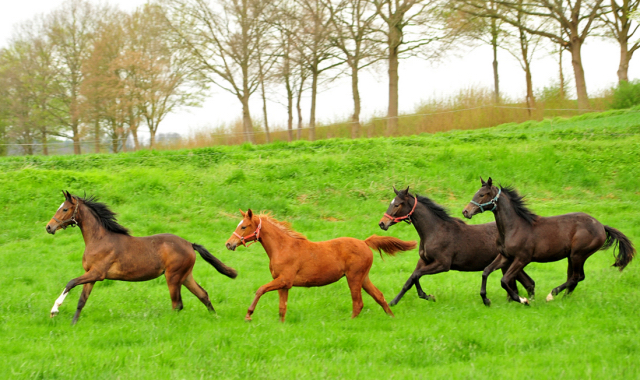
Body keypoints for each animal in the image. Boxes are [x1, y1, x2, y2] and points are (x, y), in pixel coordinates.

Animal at [44, 190, 238, 324]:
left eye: (65, 209)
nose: (49, 227)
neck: (99, 239)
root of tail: (190, 244)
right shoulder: (91, 275)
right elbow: (81, 301)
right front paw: (73, 324)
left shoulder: (97, 273)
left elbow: (70, 282)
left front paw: (54, 310)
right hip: (185, 276)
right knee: (203, 295)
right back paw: (215, 317)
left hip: (173, 277)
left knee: (177, 304)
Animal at [222, 209, 418, 322]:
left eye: (243, 226)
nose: (229, 244)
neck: (283, 247)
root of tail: (364, 242)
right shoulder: (283, 284)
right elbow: (282, 308)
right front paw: (281, 325)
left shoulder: (284, 280)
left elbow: (260, 290)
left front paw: (248, 315)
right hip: (363, 278)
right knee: (379, 296)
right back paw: (392, 317)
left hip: (354, 278)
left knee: (358, 303)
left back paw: (350, 322)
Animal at [380, 186, 536, 306]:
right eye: (391, 203)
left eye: (397, 204)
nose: (382, 223)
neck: (435, 231)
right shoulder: (423, 261)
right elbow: (411, 279)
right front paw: (393, 302)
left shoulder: (442, 264)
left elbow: (416, 275)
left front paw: (427, 296)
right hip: (509, 263)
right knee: (528, 283)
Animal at [460, 178, 636, 306]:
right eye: (477, 193)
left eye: (482, 194)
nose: (466, 211)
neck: (514, 227)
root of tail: (601, 226)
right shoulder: (505, 256)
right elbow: (486, 271)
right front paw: (486, 300)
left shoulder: (522, 259)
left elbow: (504, 281)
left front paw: (523, 300)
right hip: (571, 257)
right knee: (575, 278)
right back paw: (564, 299)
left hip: (579, 255)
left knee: (576, 277)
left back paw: (551, 295)